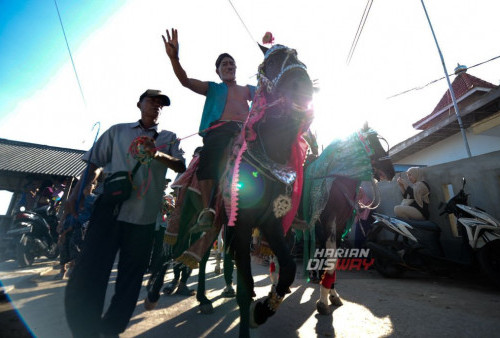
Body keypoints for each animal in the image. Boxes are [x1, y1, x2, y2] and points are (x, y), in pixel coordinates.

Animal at [298, 125, 396, 316]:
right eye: (374, 142)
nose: (391, 171)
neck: (338, 181)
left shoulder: (339, 225)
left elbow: (330, 260)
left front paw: (332, 295)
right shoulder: (329, 221)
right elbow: (330, 259)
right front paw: (323, 301)